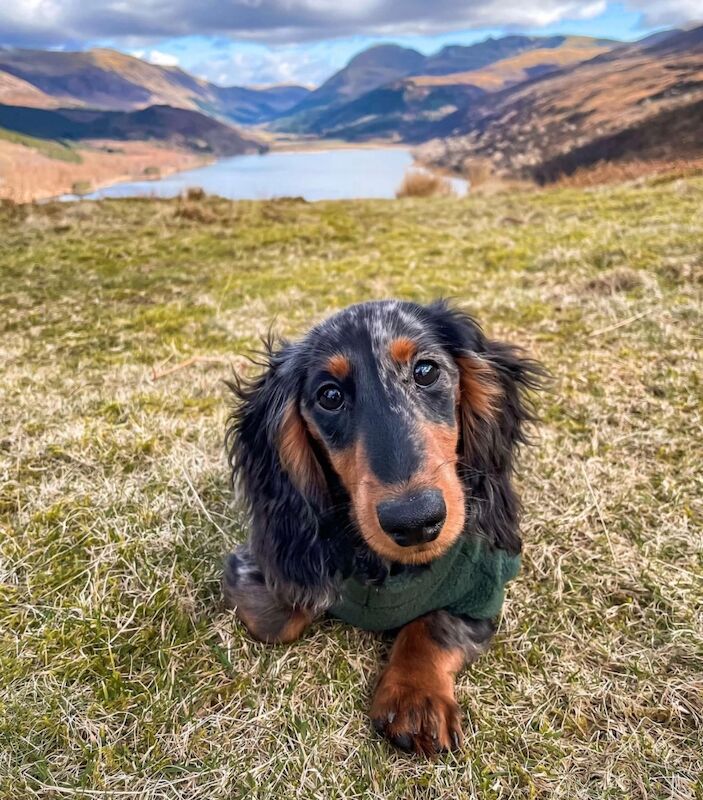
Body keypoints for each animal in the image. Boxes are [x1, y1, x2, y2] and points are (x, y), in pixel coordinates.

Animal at [223, 300, 540, 756]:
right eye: (330, 396)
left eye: (425, 370)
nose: (415, 520)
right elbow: (278, 618)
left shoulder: (483, 589)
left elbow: (433, 625)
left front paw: (416, 697)